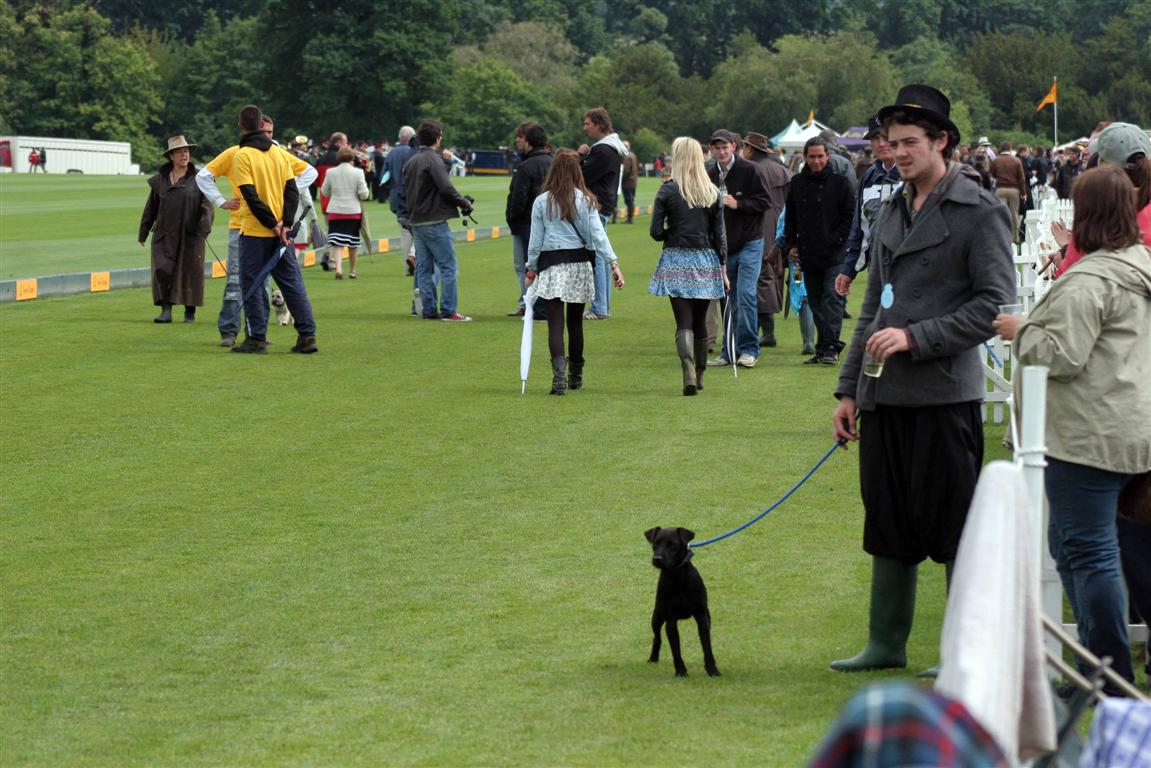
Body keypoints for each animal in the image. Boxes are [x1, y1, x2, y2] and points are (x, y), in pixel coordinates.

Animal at [645, 527, 719, 677]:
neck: (677, 578)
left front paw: (712, 669)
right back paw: (653, 658)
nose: (657, 559)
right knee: (657, 637)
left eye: (672, 545)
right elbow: (676, 650)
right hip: (657, 617)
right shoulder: (671, 620)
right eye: (655, 543)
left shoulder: (701, 617)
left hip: (708, 616)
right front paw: (680, 671)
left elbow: (706, 646)